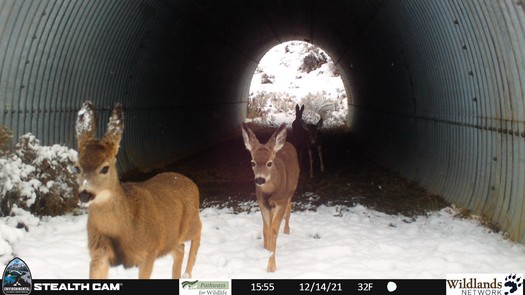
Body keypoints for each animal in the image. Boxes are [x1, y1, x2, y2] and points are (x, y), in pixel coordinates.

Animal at [74, 102, 202, 280]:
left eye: (105, 168)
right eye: (76, 167)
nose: (85, 194)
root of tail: (191, 182)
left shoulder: (149, 251)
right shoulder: (98, 254)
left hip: (188, 222)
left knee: (198, 230)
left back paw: (187, 273)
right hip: (169, 239)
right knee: (180, 249)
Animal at [241, 123, 298, 272]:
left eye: (269, 163)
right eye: (253, 162)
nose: (260, 179)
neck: (271, 192)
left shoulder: (281, 201)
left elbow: (273, 230)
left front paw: (271, 266)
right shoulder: (262, 202)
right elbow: (266, 227)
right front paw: (266, 248)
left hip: (292, 190)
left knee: (289, 209)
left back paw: (287, 230)